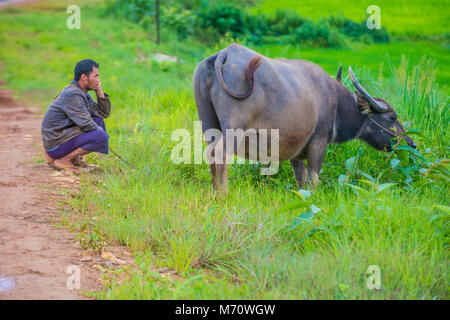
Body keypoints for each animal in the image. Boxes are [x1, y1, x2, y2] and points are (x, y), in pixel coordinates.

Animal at [192, 42, 414, 192]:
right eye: (392, 117)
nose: (411, 143)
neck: (336, 103)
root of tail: (225, 53)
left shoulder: (296, 152)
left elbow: (300, 178)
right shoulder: (319, 140)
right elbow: (313, 177)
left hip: (209, 125)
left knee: (211, 153)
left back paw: (215, 193)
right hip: (234, 128)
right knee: (221, 154)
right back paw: (223, 195)